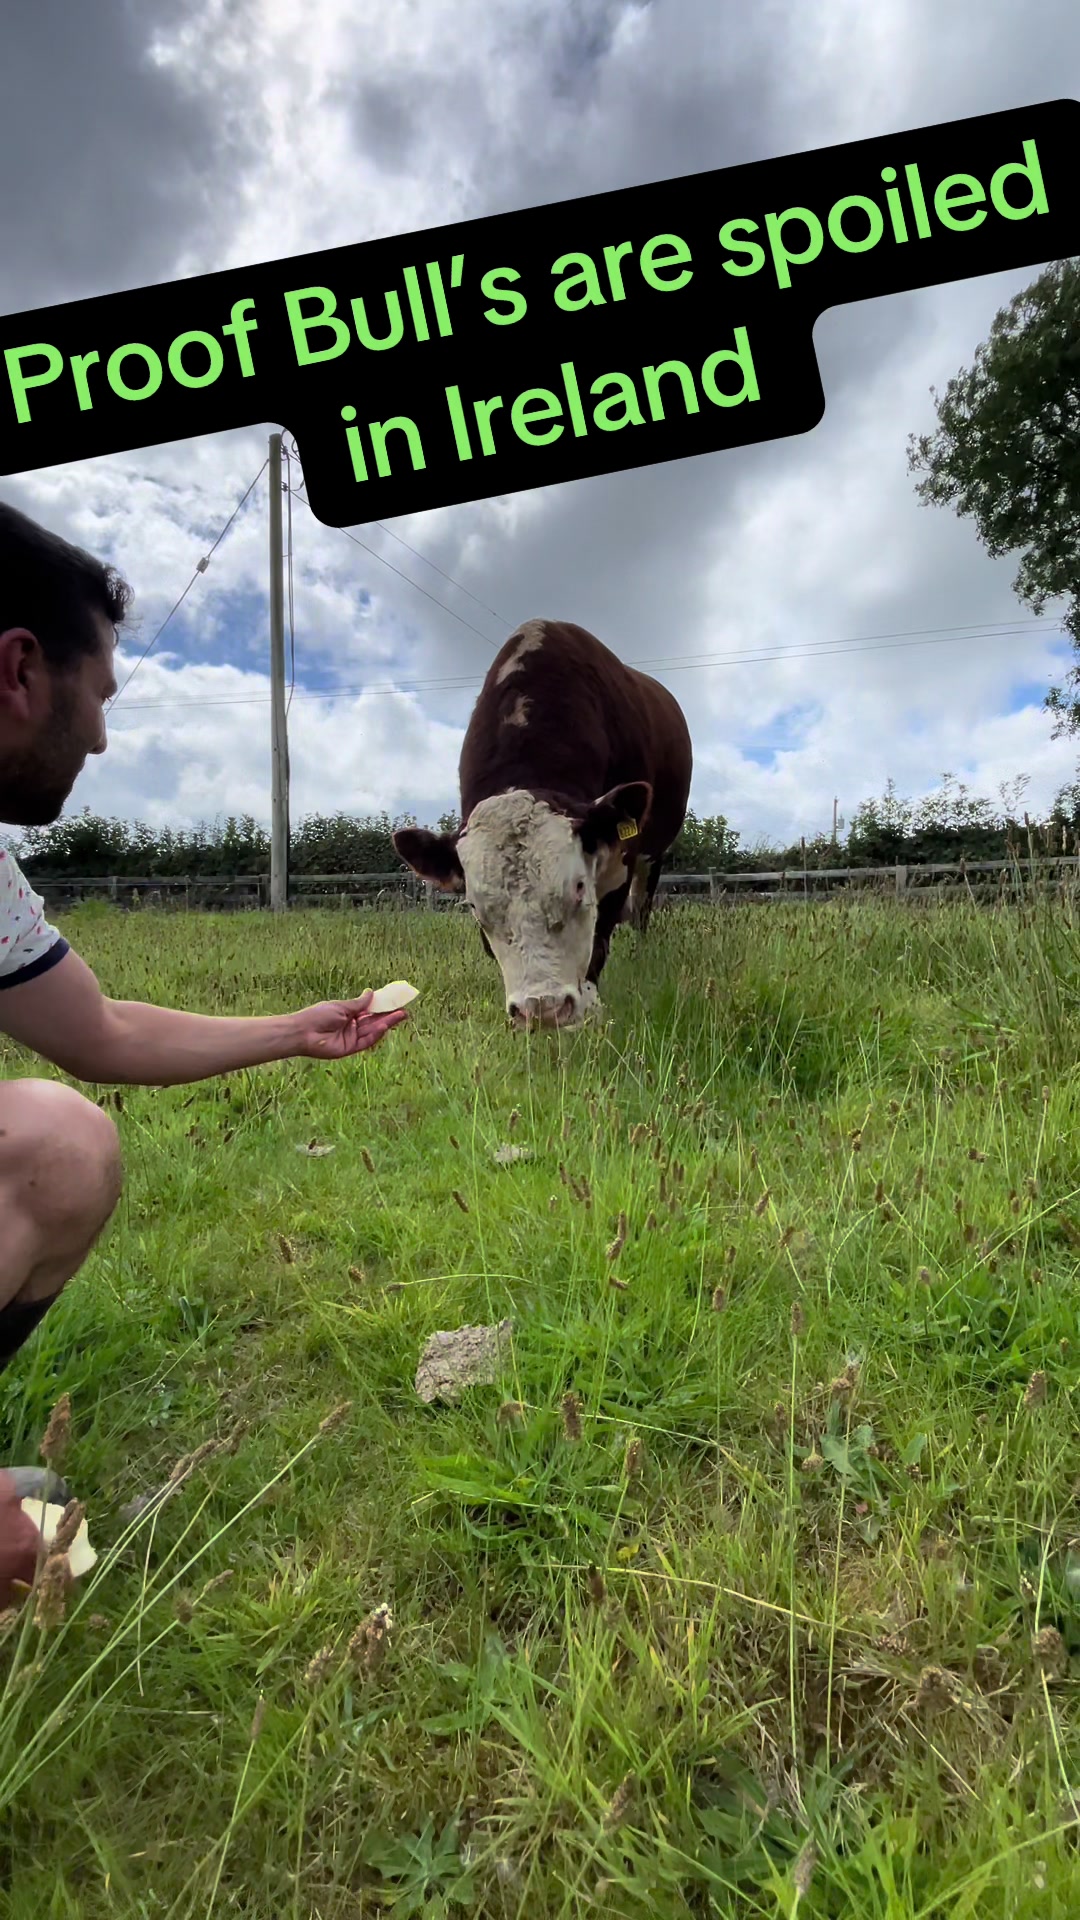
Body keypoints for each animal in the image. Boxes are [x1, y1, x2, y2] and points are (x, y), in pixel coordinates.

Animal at [392, 618, 693, 1031]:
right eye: (474, 906)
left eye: (579, 887)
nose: (543, 1009)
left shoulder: (621, 860)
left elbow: (602, 935)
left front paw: (590, 1008)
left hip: (655, 853)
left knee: (641, 909)